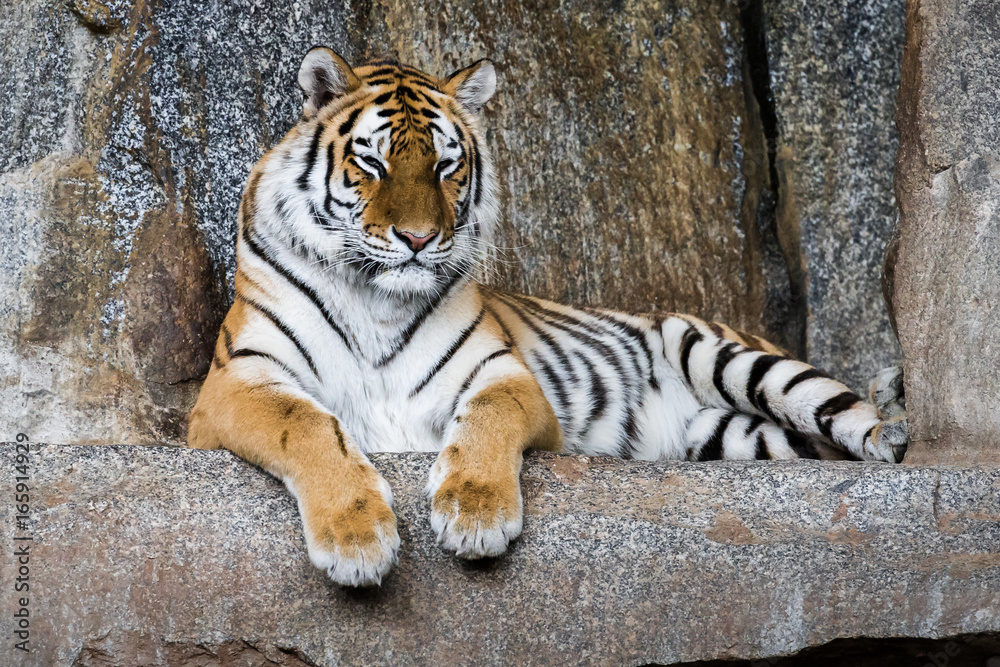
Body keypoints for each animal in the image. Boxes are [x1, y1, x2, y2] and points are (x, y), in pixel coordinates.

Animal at [186, 47, 908, 588]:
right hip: (726, 438)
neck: (377, 300)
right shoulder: (234, 383)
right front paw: (356, 537)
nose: (418, 239)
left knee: (840, 410)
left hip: (724, 352)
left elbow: (487, 417)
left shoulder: (501, 372)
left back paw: (892, 426)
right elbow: (306, 423)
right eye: (373, 161)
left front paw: (475, 515)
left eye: (445, 165)